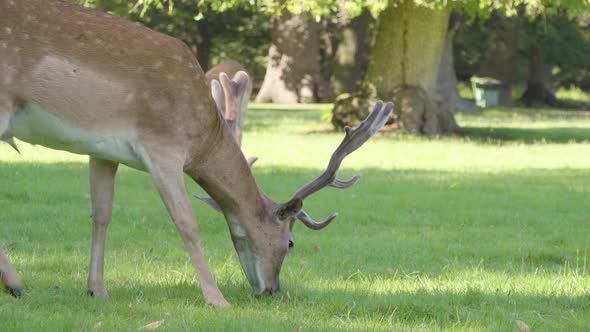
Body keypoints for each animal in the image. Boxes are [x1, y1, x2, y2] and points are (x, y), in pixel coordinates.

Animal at [2, 0, 396, 306]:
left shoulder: (102, 150)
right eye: (291, 243)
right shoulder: (163, 146)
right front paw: (216, 298)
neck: (203, 134)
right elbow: (187, 222)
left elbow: (101, 214)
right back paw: (16, 283)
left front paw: (97, 290)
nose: (271, 291)